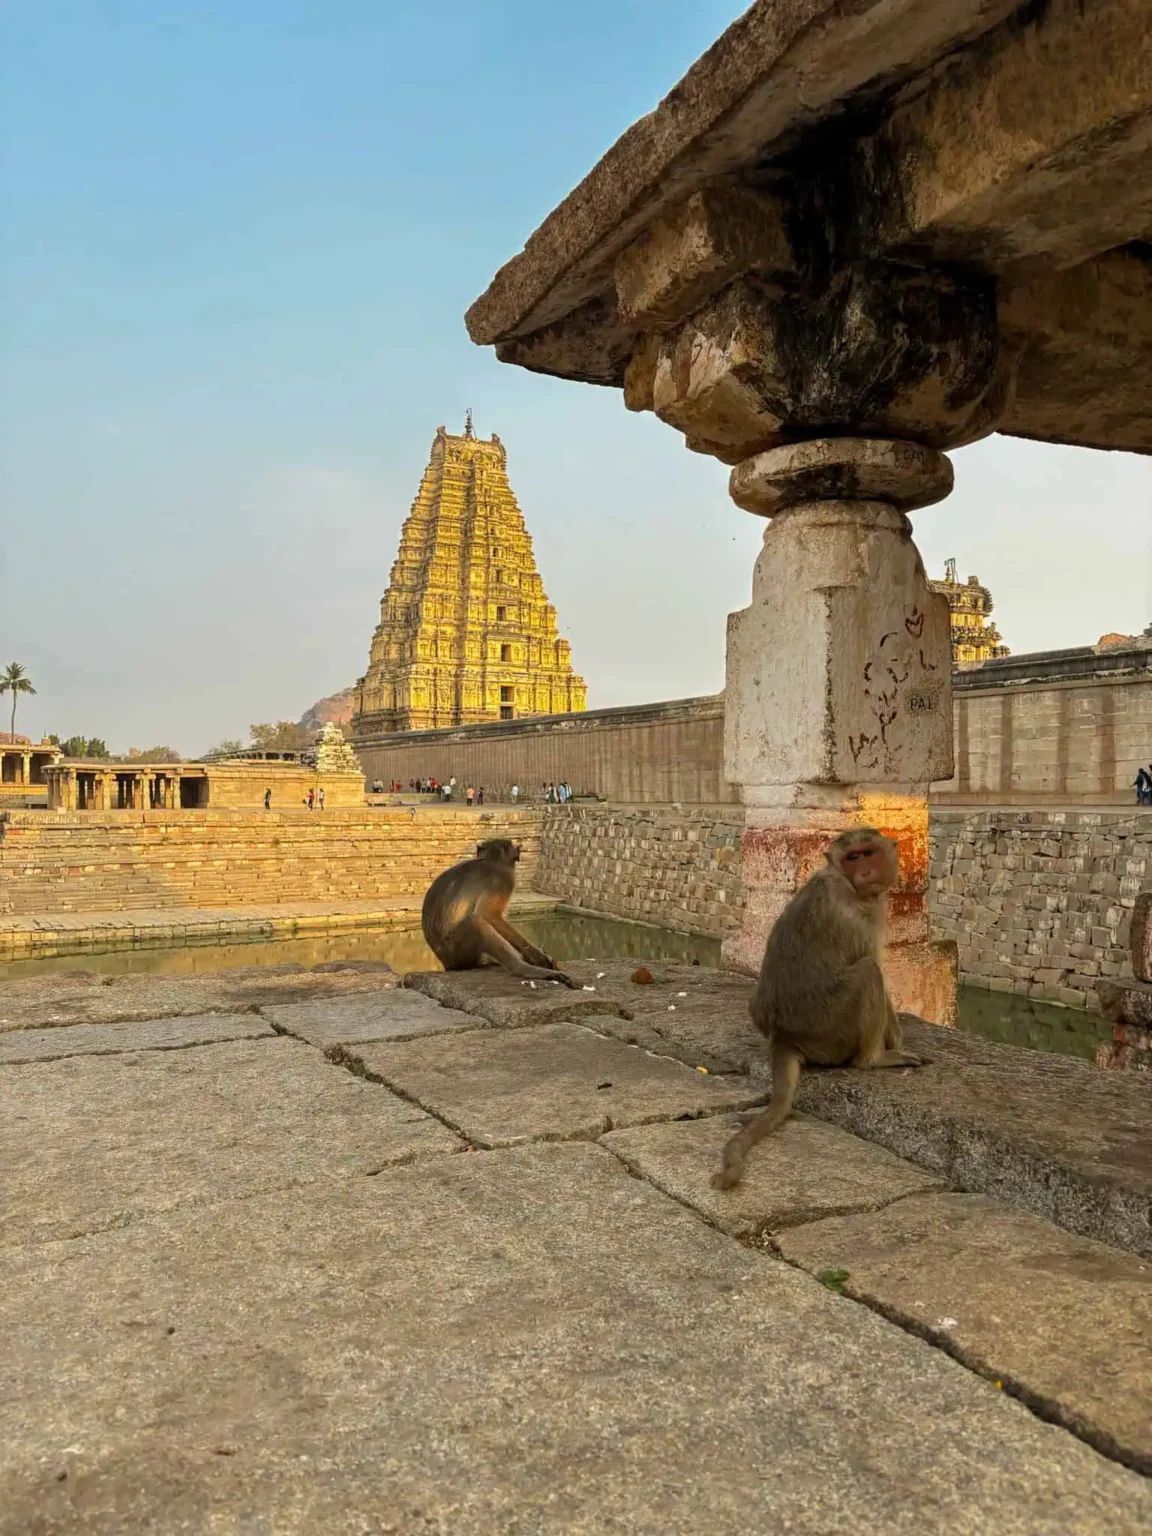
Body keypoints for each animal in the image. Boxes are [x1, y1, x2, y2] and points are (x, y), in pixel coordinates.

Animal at [421, 838, 576, 987]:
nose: (519, 849)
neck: (492, 858)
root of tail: (446, 964)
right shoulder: (504, 878)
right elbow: (488, 914)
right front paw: (536, 955)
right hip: (457, 952)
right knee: (474, 922)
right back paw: (522, 968)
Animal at [712, 827, 922, 1191]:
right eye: (853, 857)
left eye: (869, 853)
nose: (865, 871)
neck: (845, 881)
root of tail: (783, 1036)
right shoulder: (859, 917)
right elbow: (876, 969)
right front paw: (897, 1042)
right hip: (831, 1029)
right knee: (868, 972)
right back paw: (875, 1059)